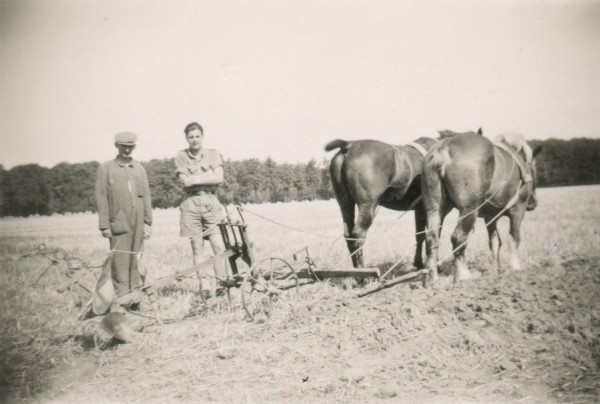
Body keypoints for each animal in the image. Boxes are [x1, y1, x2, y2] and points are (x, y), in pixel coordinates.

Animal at [326, 134, 442, 270]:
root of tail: (350, 145)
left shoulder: (420, 209)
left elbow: (420, 235)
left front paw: (419, 263)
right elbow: (434, 234)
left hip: (345, 204)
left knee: (348, 235)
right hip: (368, 207)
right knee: (358, 235)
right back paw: (362, 272)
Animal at [422, 133, 544, 284]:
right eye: (534, 168)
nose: (533, 202)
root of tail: (444, 149)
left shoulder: (490, 217)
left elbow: (495, 242)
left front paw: (495, 270)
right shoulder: (518, 209)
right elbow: (514, 238)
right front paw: (515, 268)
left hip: (434, 209)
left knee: (431, 239)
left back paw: (432, 279)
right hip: (469, 209)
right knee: (458, 238)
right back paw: (463, 276)